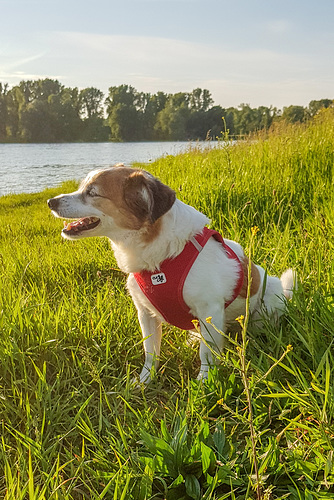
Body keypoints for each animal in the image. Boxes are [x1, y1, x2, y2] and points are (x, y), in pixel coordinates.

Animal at [47, 164, 294, 382]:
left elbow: (207, 354)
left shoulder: (210, 310)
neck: (161, 262)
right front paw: (145, 381)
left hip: (264, 310)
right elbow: (150, 351)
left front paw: (205, 382)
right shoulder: (145, 313)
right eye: (82, 187)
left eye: (92, 192)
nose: (50, 201)